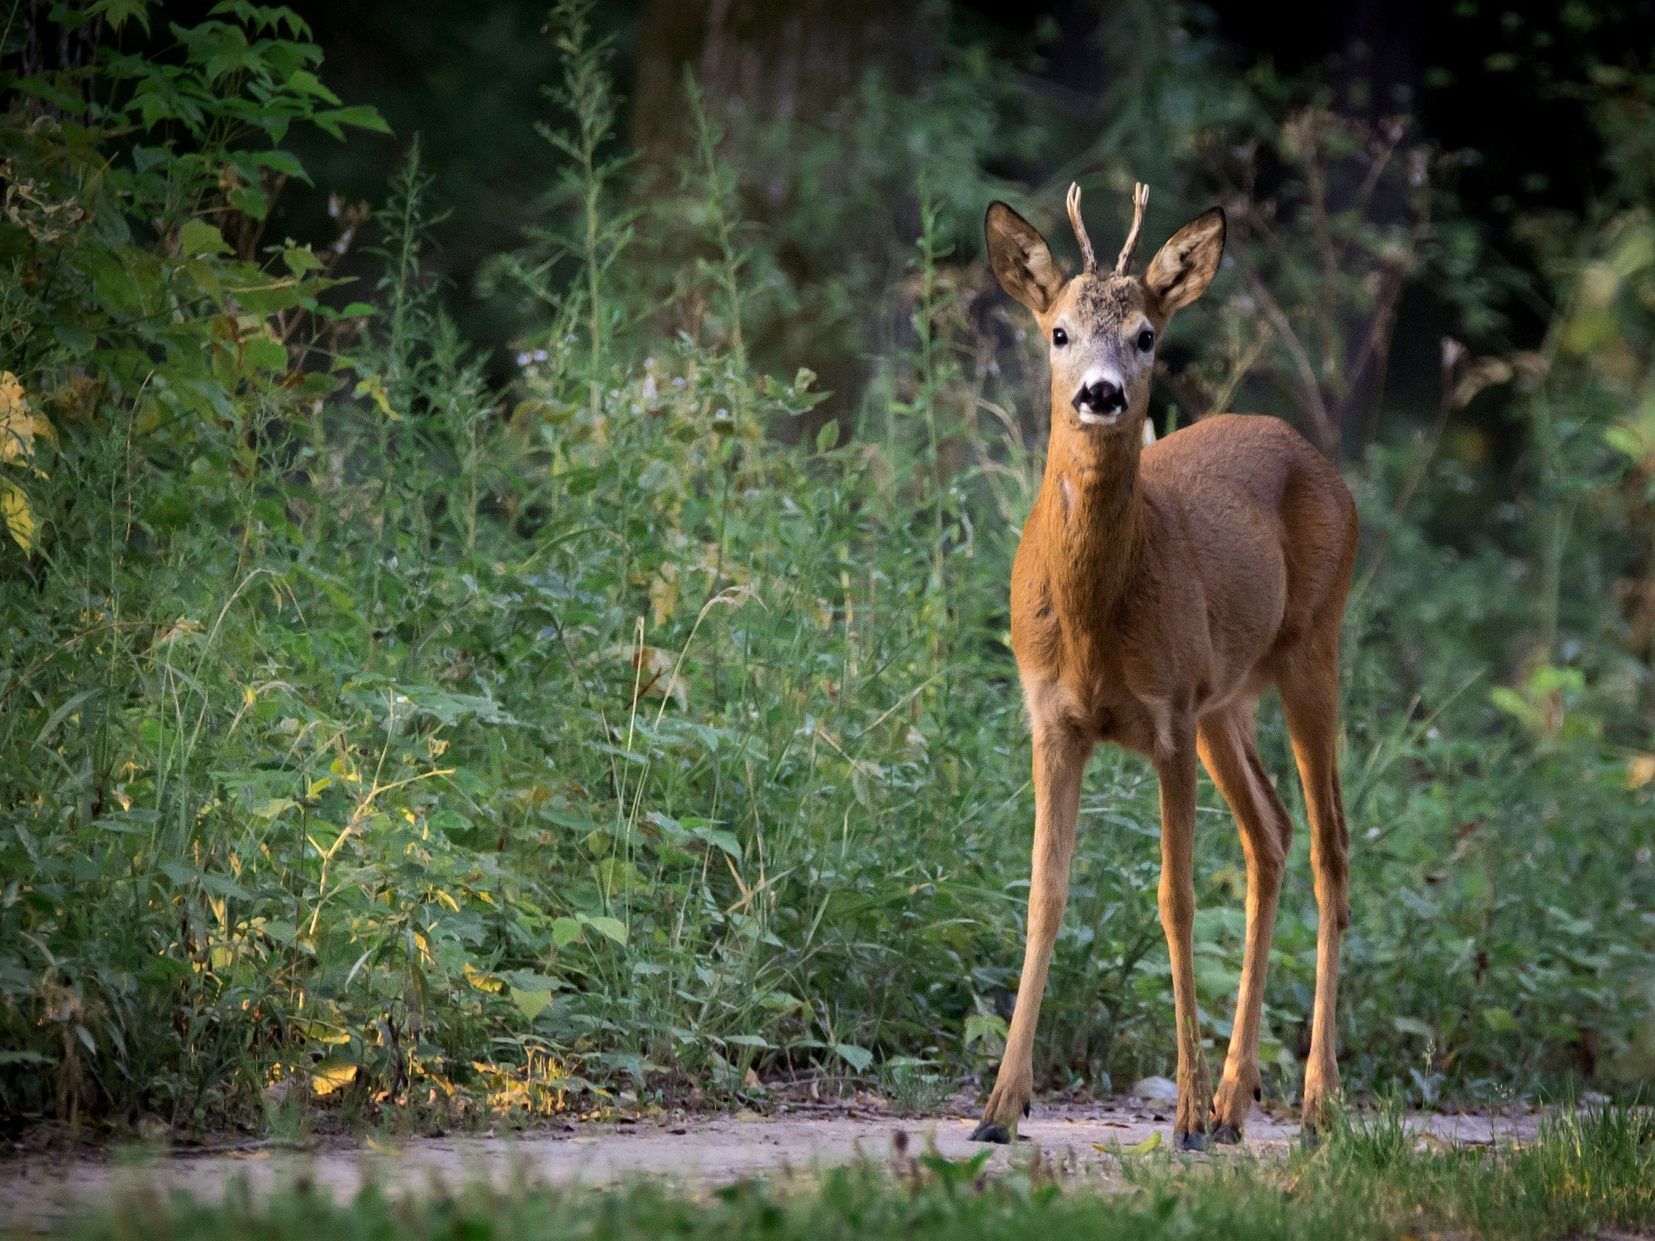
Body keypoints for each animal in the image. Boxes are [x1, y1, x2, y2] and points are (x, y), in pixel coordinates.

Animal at [966, 179, 1357, 1151]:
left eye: (1146, 334)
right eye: (1057, 331)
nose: (1103, 394)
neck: (1094, 622)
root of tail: (1316, 457)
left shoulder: (1167, 715)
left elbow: (1174, 900)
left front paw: (1177, 1114)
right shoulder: (1052, 717)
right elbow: (1043, 892)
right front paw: (998, 1106)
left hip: (1312, 648)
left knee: (1329, 845)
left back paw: (1312, 1100)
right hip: (1228, 700)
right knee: (1272, 833)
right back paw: (1232, 1101)